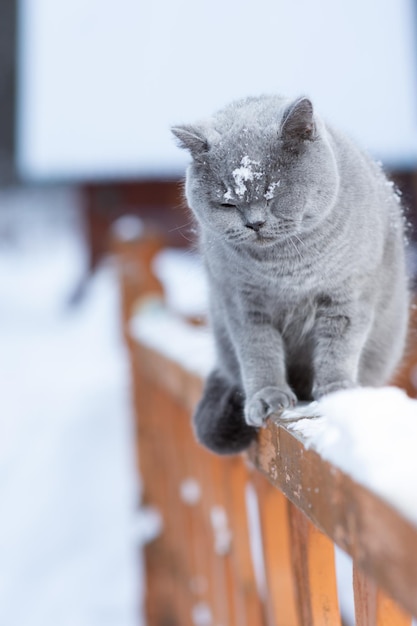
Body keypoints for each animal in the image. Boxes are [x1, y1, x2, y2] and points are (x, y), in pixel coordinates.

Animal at [171, 94, 408, 454]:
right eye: (227, 203)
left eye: (273, 190)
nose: (254, 223)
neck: (285, 268)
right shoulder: (242, 304)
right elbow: (259, 353)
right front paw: (267, 398)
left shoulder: (349, 297)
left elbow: (338, 350)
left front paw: (335, 393)